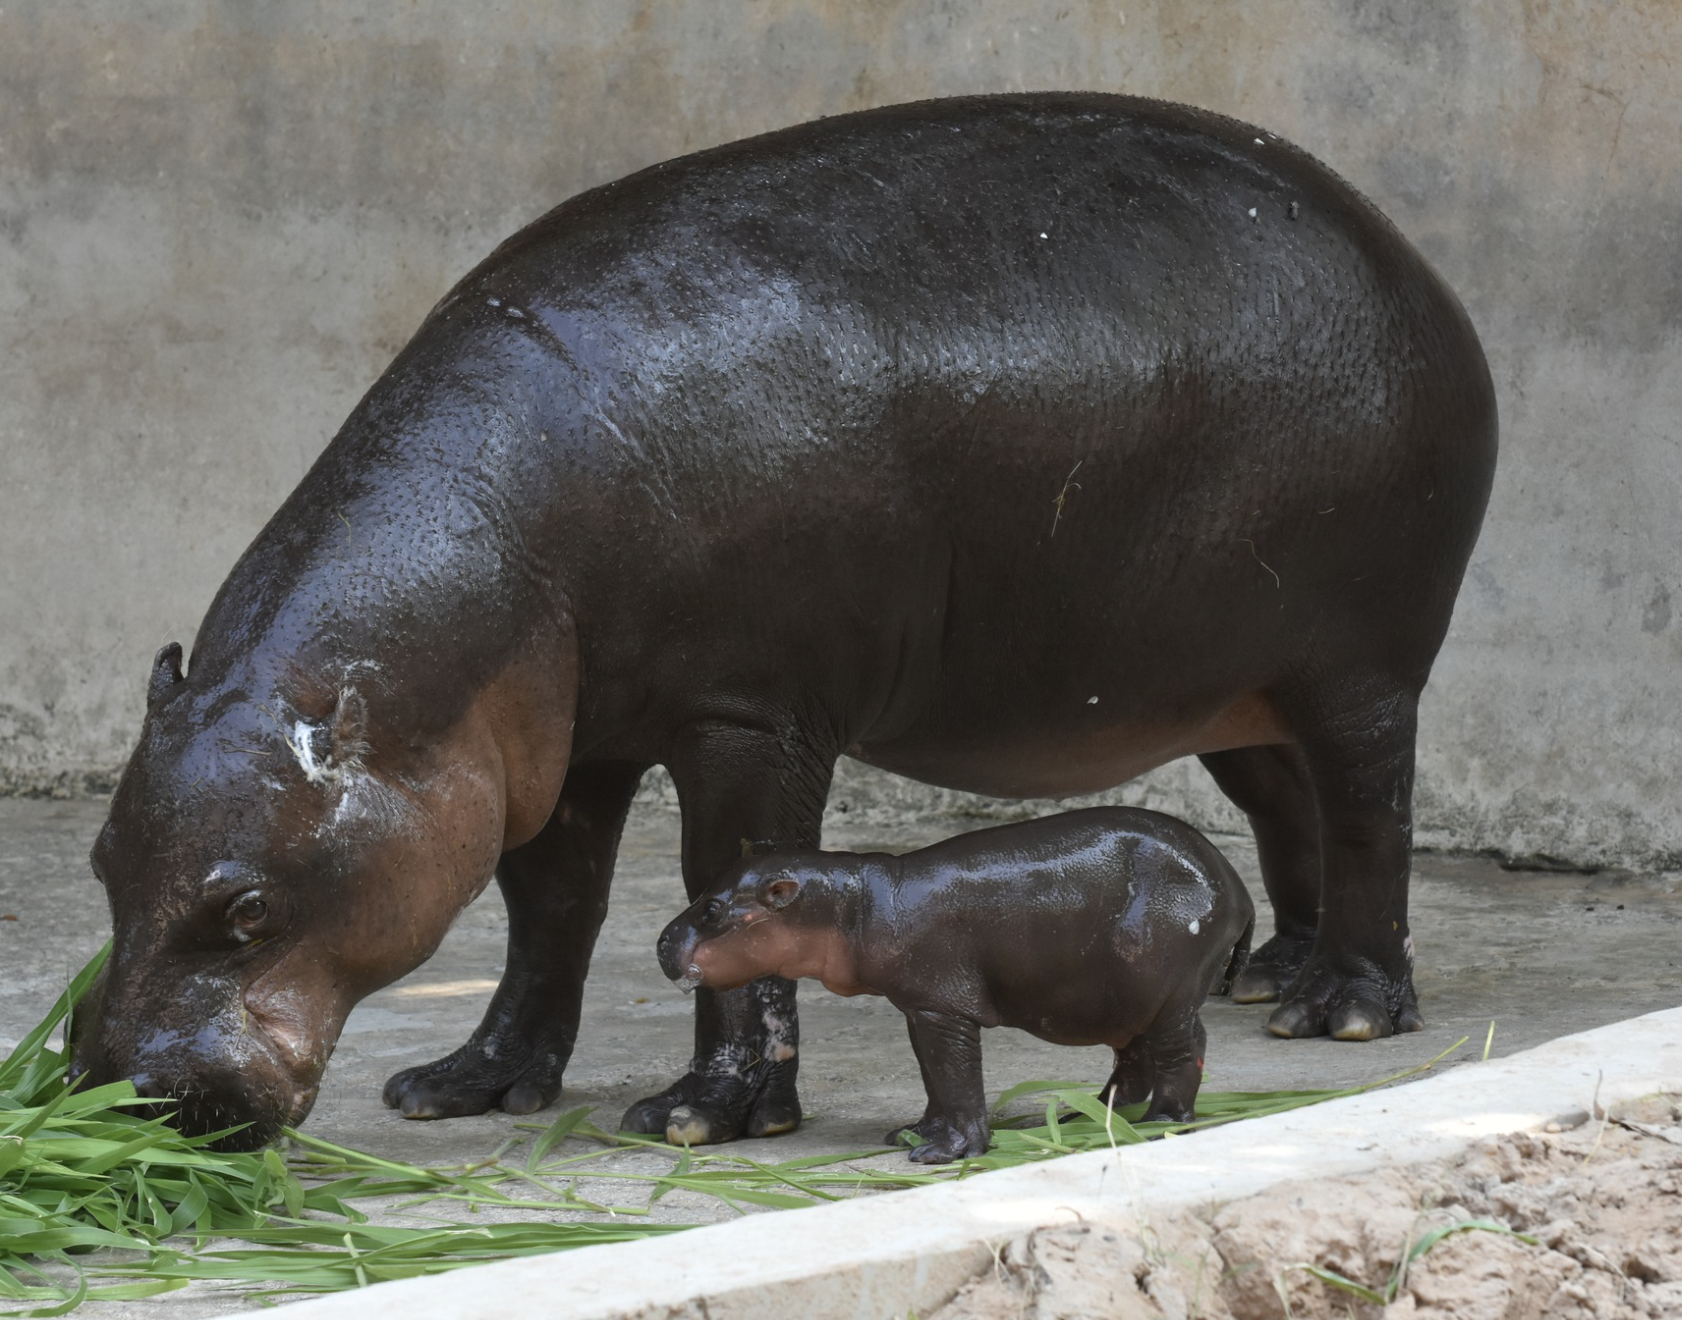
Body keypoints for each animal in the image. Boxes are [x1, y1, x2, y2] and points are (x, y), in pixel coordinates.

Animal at [659, 808, 1256, 1162]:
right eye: (703, 892)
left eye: (712, 909)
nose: (662, 943)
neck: (857, 901)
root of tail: (1235, 883)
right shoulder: (920, 1009)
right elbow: (934, 1082)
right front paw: (912, 1134)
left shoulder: (944, 1008)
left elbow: (956, 1077)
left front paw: (943, 1154)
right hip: (1127, 999)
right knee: (1132, 1060)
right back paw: (1084, 1116)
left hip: (1171, 994)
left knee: (1184, 1048)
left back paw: (1161, 1123)